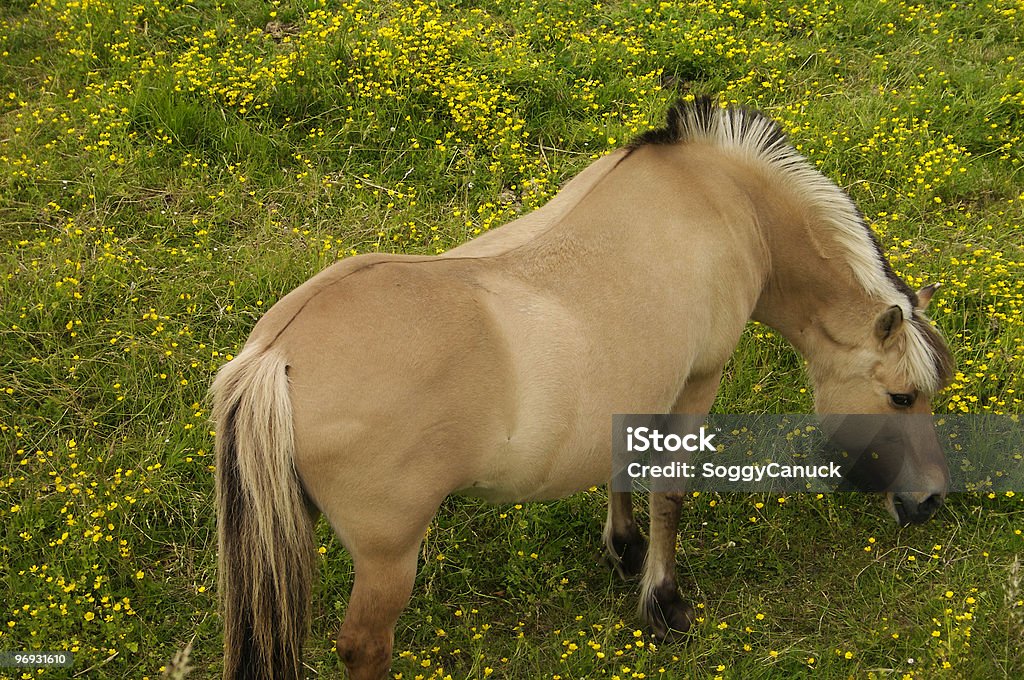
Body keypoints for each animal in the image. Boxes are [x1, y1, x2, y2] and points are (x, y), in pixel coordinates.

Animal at [211, 96, 954, 680]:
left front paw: (625, 549)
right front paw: (662, 601)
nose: (930, 500)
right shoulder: (699, 379)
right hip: (388, 558)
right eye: (902, 397)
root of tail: (277, 355)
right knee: (365, 646)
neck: (717, 196)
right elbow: (670, 491)